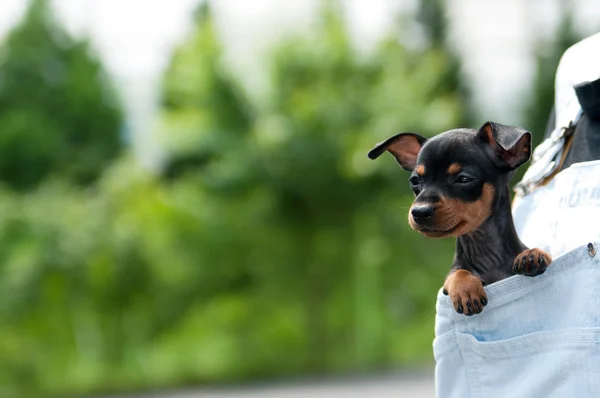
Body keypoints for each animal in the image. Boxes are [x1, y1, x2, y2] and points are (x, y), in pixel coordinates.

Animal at [368, 123, 556, 316]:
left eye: (464, 179)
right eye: (414, 180)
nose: (419, 212)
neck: (485, 251)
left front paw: (532, 254)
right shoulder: (452, 273)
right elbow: (456, 273)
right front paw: (465, 289)